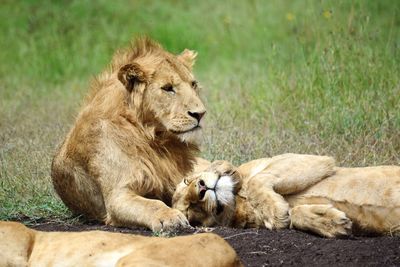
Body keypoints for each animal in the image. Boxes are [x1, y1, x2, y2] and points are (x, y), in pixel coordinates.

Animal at [51, 37, 208, 232]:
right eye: (168, 88)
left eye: (193, 84)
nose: (200, 114)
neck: (155, 138)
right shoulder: (117, 197)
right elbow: (152, 204)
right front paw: (170, 217)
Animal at [173, 154, 400, 238]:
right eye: (190, 211)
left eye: (186, 181)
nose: (201, 189)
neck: (239, 201)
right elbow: (295, 214)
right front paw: (332, 223)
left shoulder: (311, 160)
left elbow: (256, 180)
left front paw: (276, 211)